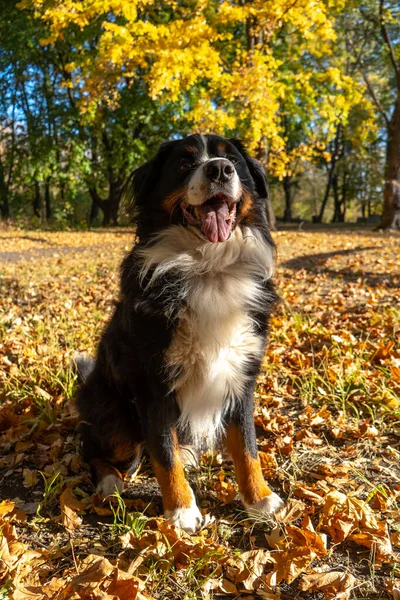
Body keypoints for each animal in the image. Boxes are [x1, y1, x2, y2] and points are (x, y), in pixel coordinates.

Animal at [76, 134, 284, 532]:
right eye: (185, 164)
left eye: (233, 159)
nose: (220, 169)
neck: (208, 267)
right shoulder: (152, 384)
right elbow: (163, 452)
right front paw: (182, 510)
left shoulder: (241, 375)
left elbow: (247, 446)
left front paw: (260, 499)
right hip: (113, 414)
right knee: (93, 448)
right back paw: (110, 481)